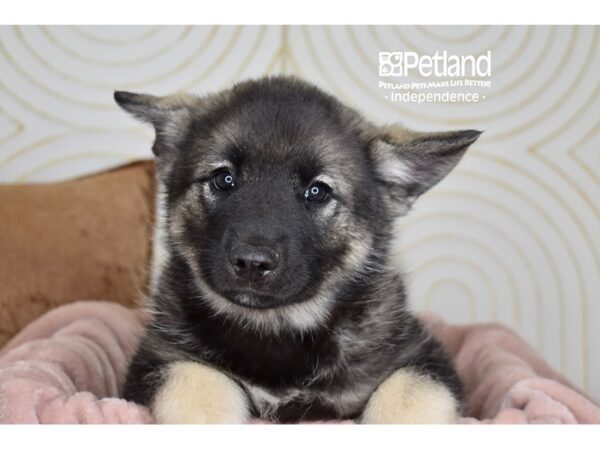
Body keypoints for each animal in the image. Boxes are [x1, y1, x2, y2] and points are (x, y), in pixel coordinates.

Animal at [115, 75, 480, 424]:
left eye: (317, 191)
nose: (252, 263)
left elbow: (410, 395)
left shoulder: (421, 357)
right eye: (223, 179)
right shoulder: (160, 357)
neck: (276, 329)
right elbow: (194, 385)